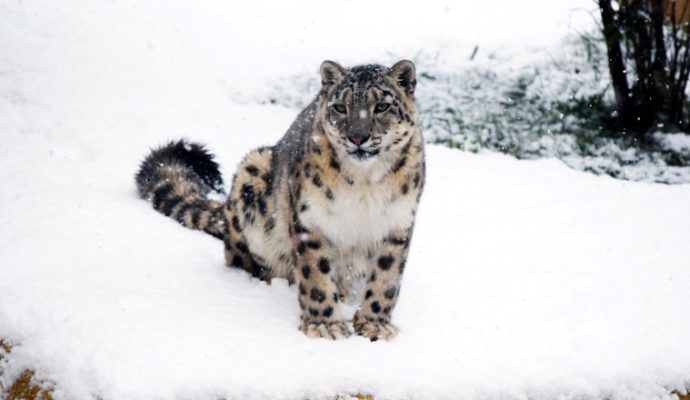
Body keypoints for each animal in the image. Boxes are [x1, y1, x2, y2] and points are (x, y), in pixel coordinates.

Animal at [134, 60, 424, 340]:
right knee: (242, 259)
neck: (364, 182)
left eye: (382, 106)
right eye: (340, 107)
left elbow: (386, 279)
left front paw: (375, 325)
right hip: (252, 176)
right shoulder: (311, 219)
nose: (358, 137)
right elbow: (315, 274)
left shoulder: (397, 223)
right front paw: (323, 325)